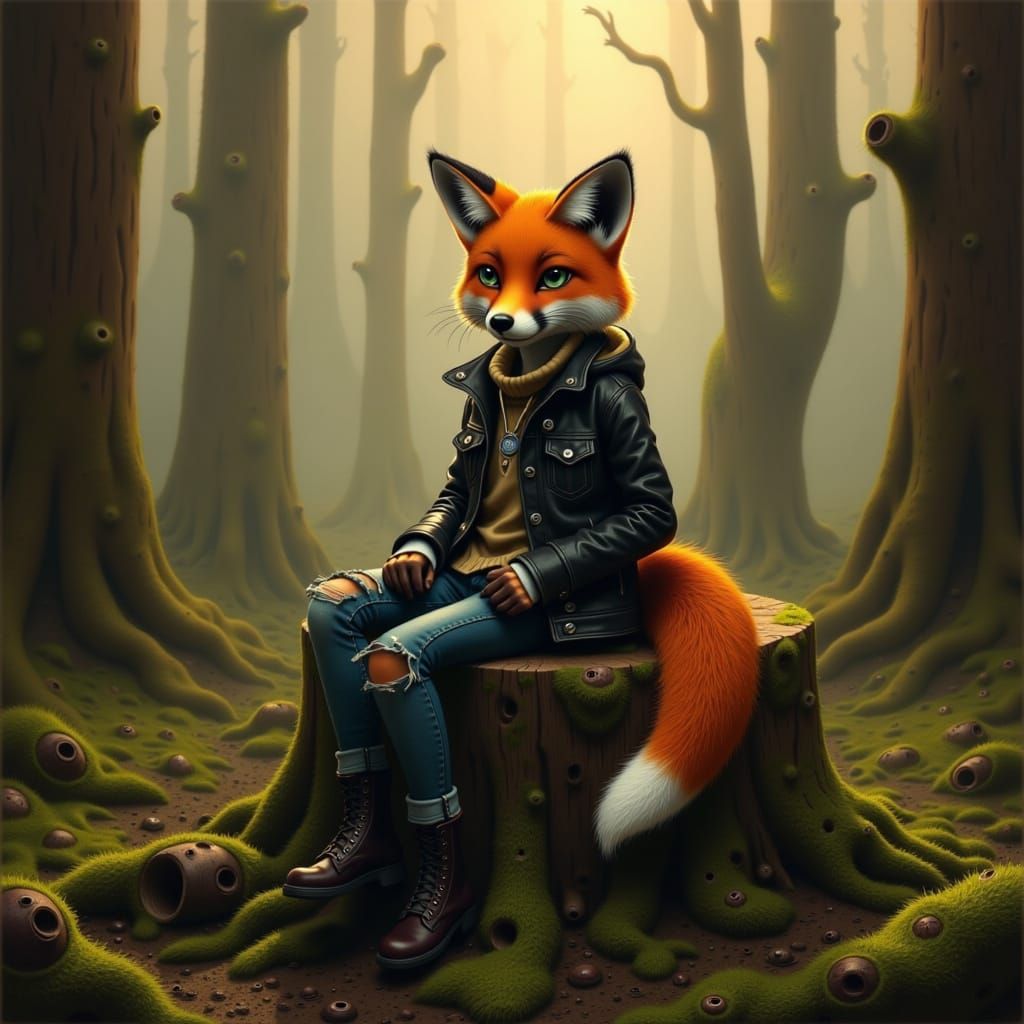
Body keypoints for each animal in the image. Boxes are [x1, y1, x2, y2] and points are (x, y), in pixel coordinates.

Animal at [430, 149, 763, 857]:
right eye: (490, 275)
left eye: (553, 275)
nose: (501, 322)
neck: (535, 386)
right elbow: (453, 494)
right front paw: (409, 559)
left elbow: (650, 508)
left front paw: (521, 581)